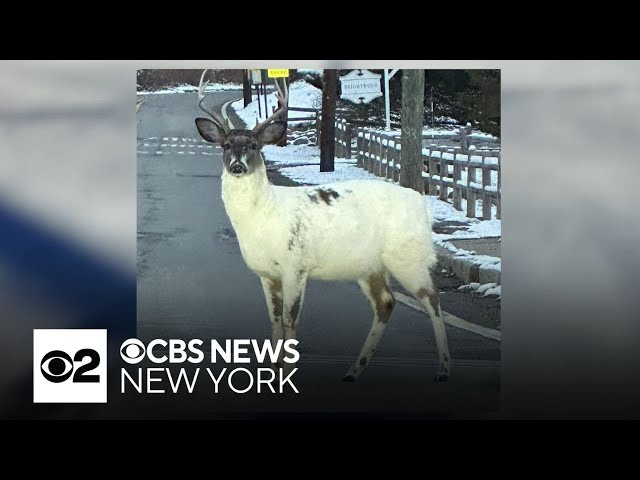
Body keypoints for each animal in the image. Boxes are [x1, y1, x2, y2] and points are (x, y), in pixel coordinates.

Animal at [195, 69, 450, 380]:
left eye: (254, 145)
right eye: (226, 145)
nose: (237, 167)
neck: (262, 218)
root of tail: (421, 204)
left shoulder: (295, 264)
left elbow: (290, 321)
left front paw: (288, 372)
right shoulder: (266, 273)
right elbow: (275, 321)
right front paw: (273, 372)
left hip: (408, 256)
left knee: (433, 299)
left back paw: (443, 369)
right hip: (369, 266)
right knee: (386, 303)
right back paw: (354, 370)